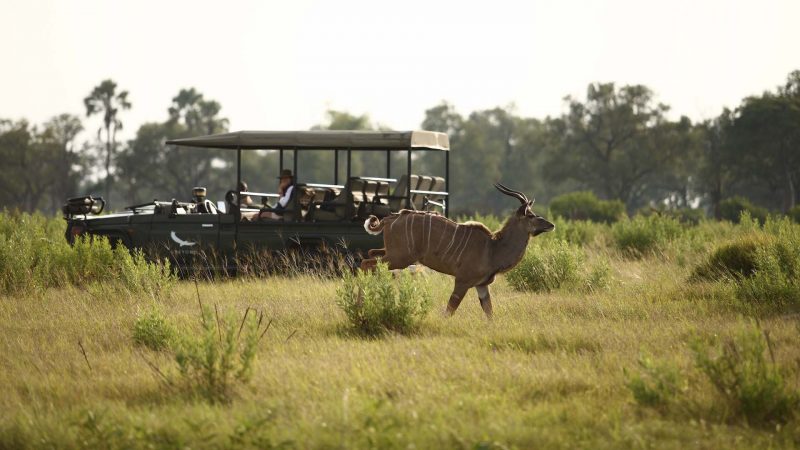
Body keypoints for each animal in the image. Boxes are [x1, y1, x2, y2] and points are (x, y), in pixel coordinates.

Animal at [360, 183, 552, 316]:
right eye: (531, 215)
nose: (551, 225)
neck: (492, 248)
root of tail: (390, 219)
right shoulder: (462, 281)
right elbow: (450, 309)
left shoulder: (481, 285)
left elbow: (489, 312)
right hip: (400, 258)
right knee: (367, 264)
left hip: (392, 255)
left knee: (370, 257)